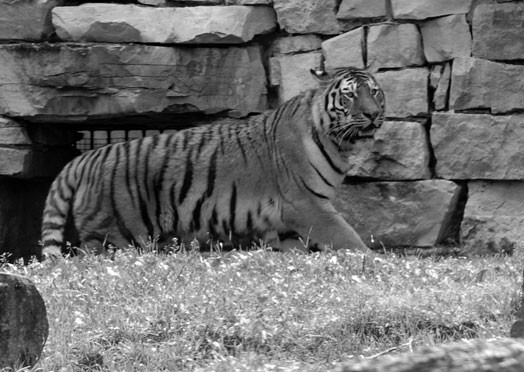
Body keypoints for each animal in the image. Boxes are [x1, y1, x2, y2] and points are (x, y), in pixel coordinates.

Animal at [40, 67, 384, 258]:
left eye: (375, 92)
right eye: (350, 95)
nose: (373, 114)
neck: (338, 142)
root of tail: (86, 157)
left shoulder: (286, 224)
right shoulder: (306, 205)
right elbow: (348, 237)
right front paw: (376, 261)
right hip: (115, 237)